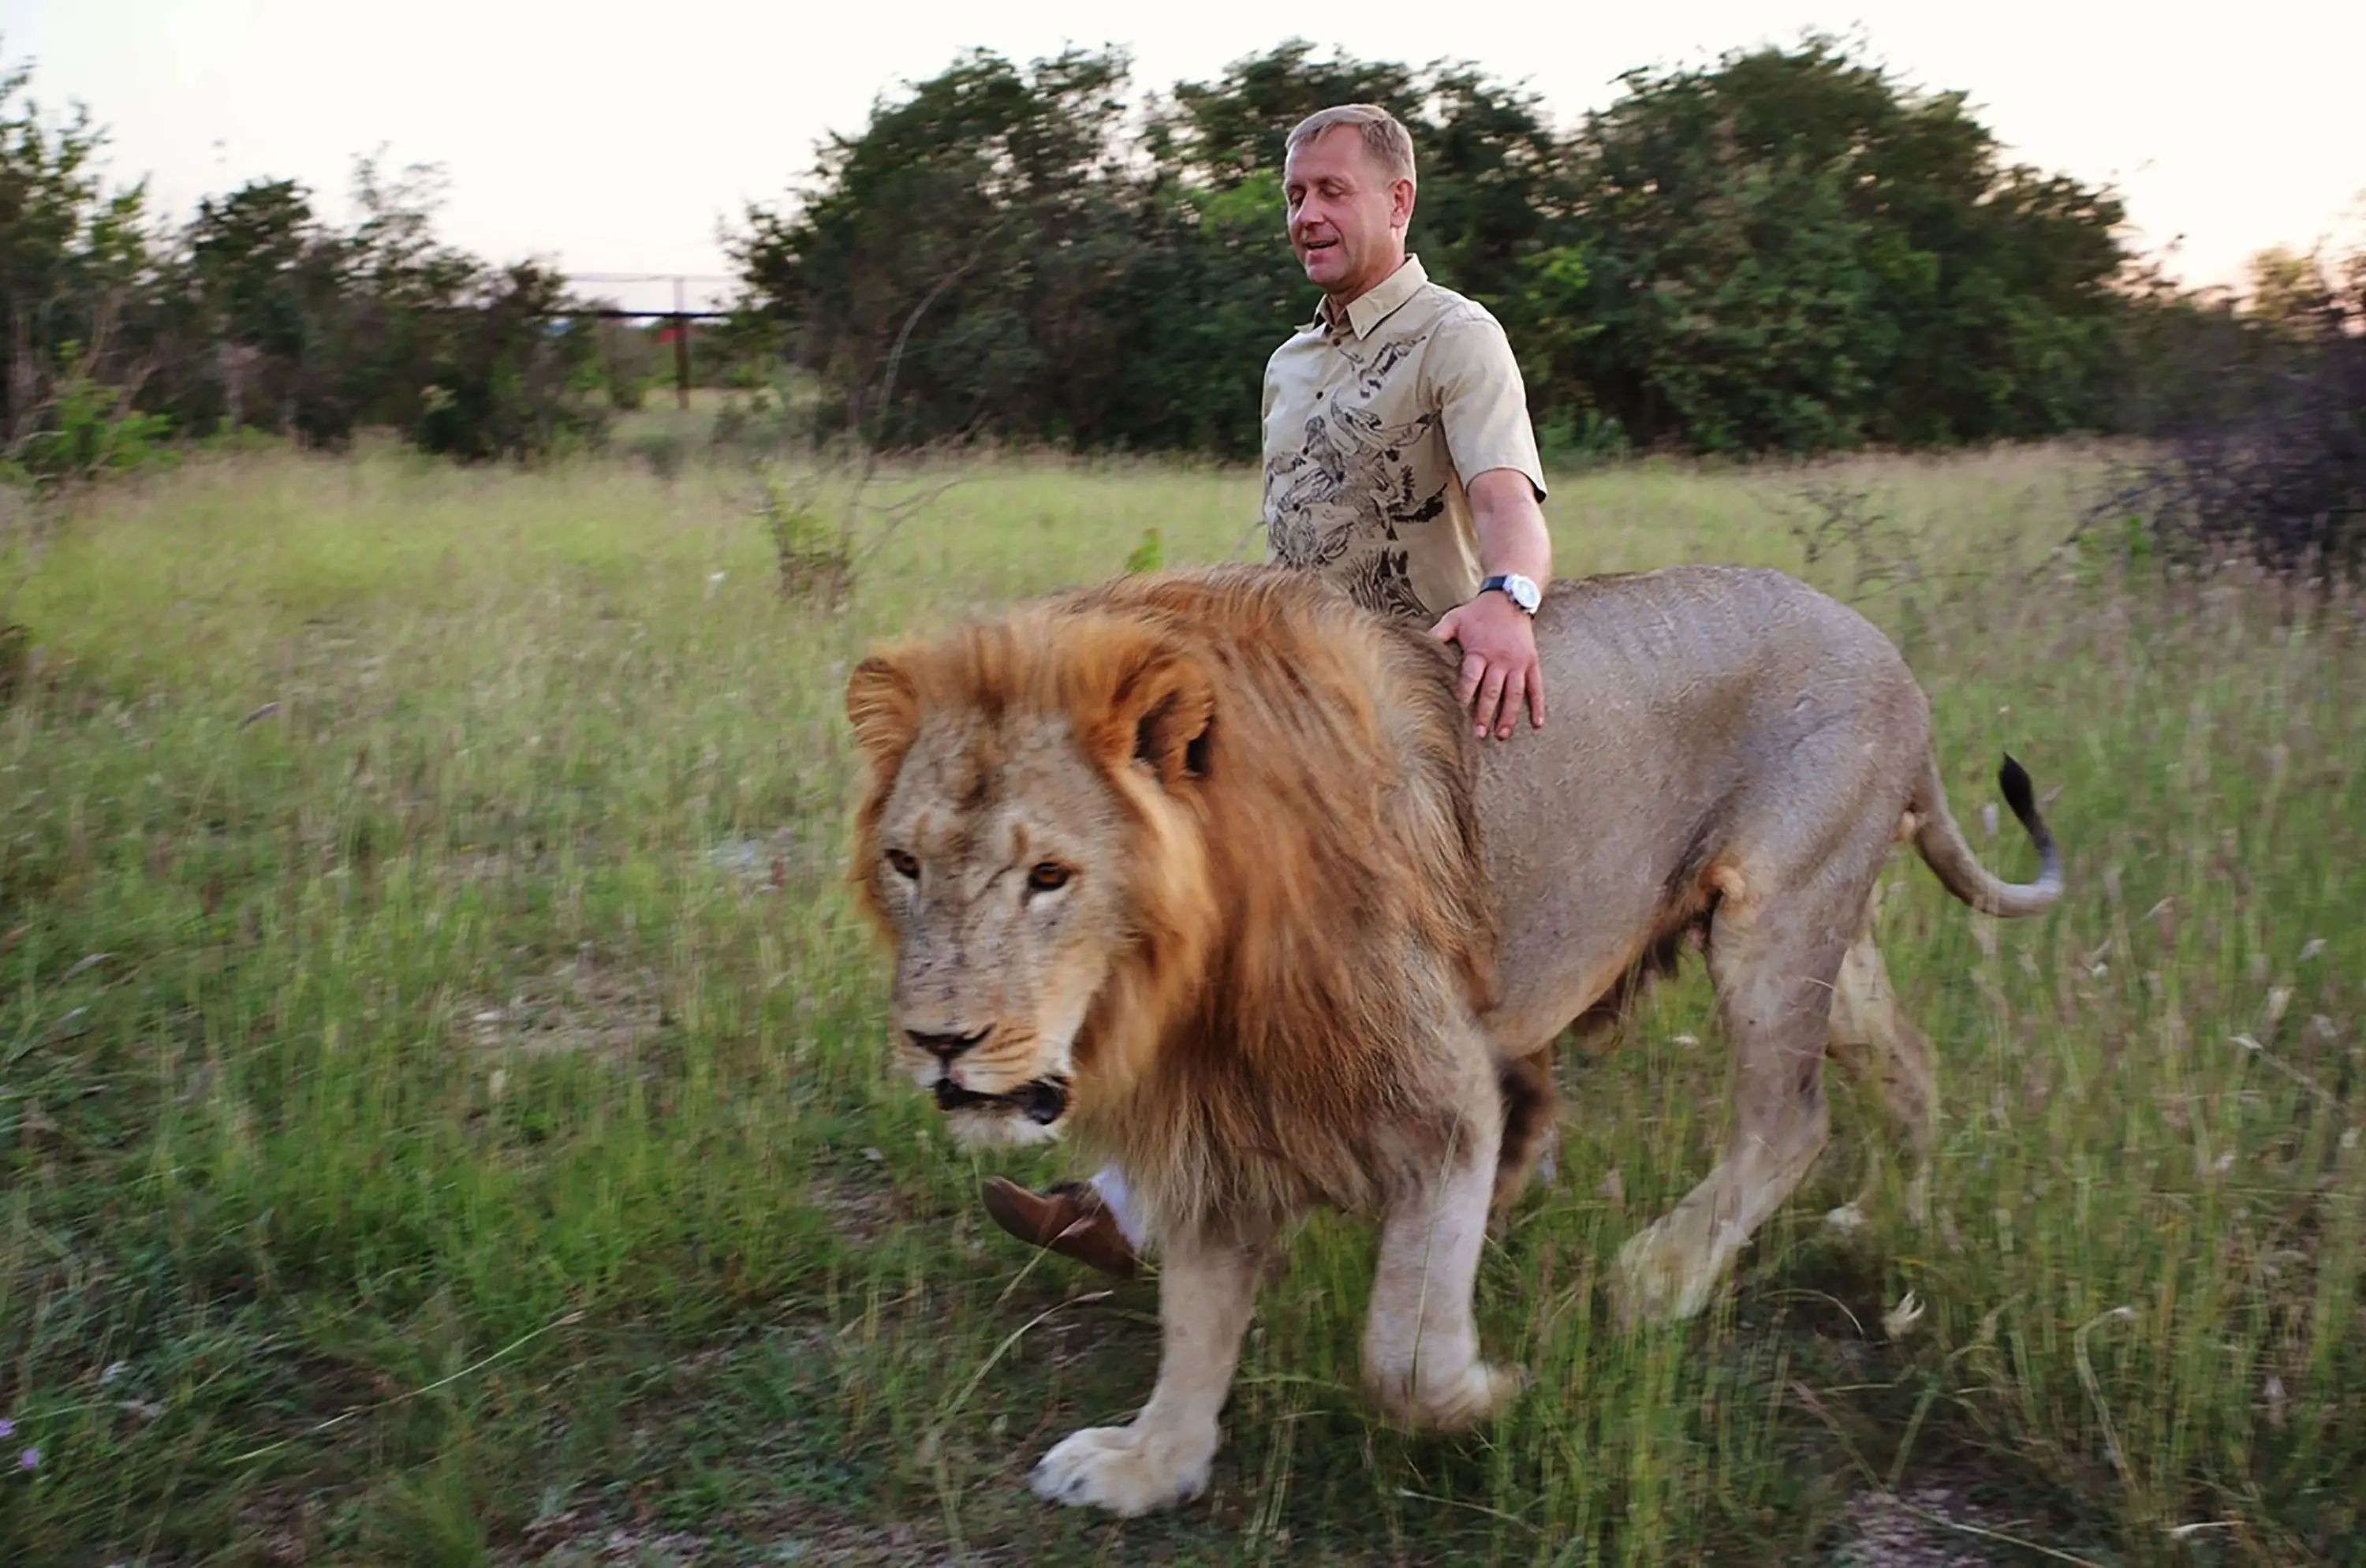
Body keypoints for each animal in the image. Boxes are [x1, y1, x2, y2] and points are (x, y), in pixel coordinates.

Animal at [841, 561, 2060, 1518]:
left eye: (1050, 876)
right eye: (906, 863)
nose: (939, 1043)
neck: (1187, 976)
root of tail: (1891, 653)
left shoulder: (1442, 1101)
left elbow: (1401, 1350)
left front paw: (1487, 1391)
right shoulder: (1220, 1109)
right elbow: (1197, 1315)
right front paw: (1152, 1463)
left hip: (1775, 922)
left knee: (1788, 1122)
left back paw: (1654, 1283)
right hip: (1828, 949)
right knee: (1908, 1064)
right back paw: (1889, 1221)